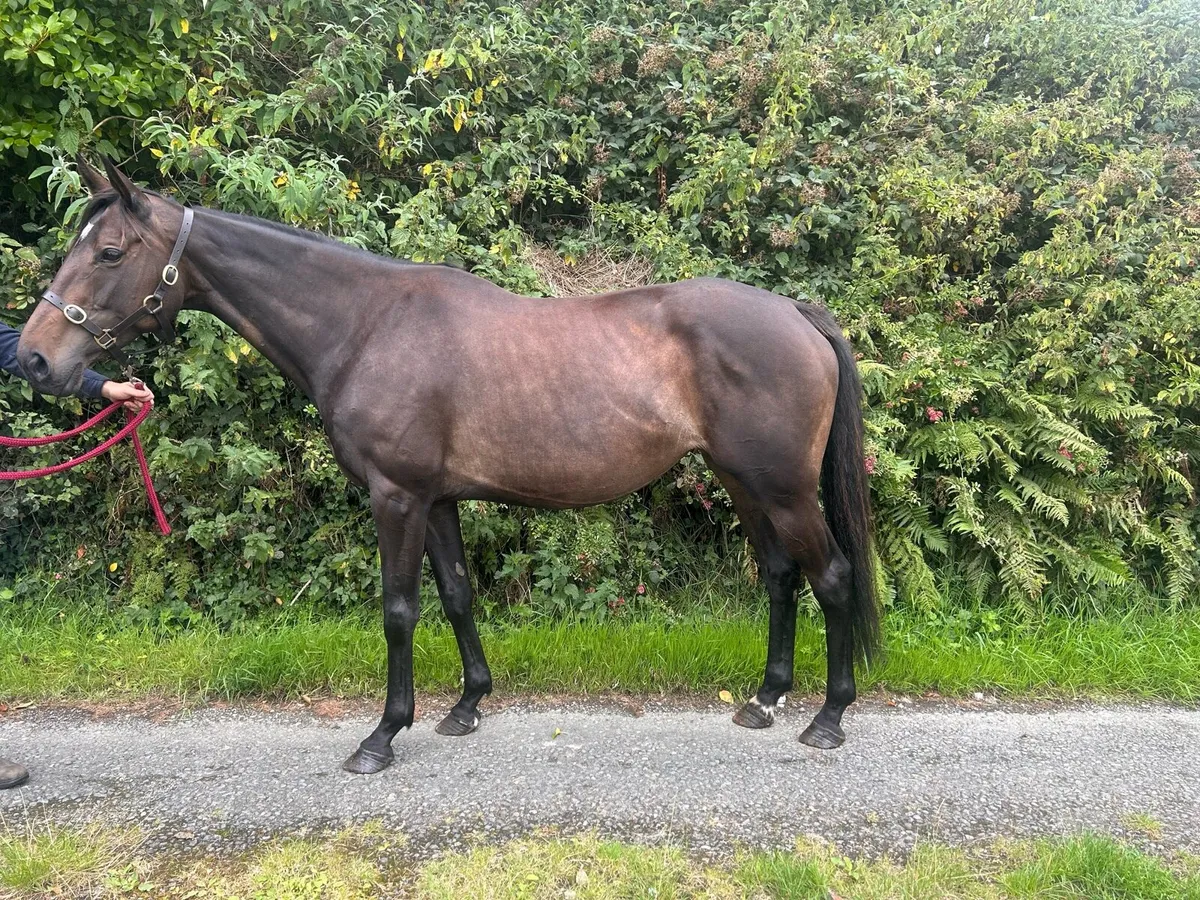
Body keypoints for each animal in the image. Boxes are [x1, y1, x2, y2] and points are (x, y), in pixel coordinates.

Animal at [17, 157, 880, 774]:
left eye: (110, 251)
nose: (33, 359)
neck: (365, 325)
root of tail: (794, 311)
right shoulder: (436, 500)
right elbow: (460, 596)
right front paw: (465, 708)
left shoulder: (395, 497)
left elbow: (400, 611)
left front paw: (380, 738)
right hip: (745, 483)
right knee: (782, 576)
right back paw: (764, 700)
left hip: (783, 489)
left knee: (832, 577)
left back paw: (827, 719)